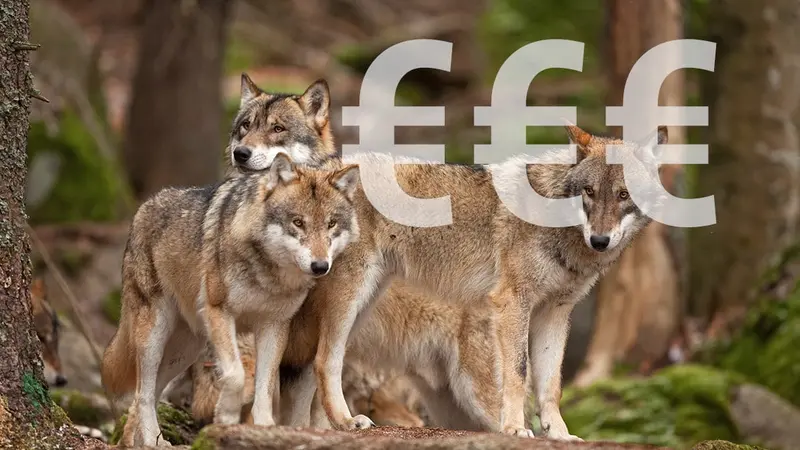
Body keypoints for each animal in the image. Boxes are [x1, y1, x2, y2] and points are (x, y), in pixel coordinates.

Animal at [100, 153, 360, 447]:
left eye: (331, 224)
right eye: (298, 222)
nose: (320, 266)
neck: (268, 274)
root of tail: (144, 206)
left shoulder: (274, 326)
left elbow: (264, 387)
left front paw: (265, 428)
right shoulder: (220, 313)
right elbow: (235, 375)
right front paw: (225, 416)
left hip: (184, 350)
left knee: (147, 393)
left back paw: (139, 442)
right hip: (154, 337)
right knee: (143, 392)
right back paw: (153, 442)